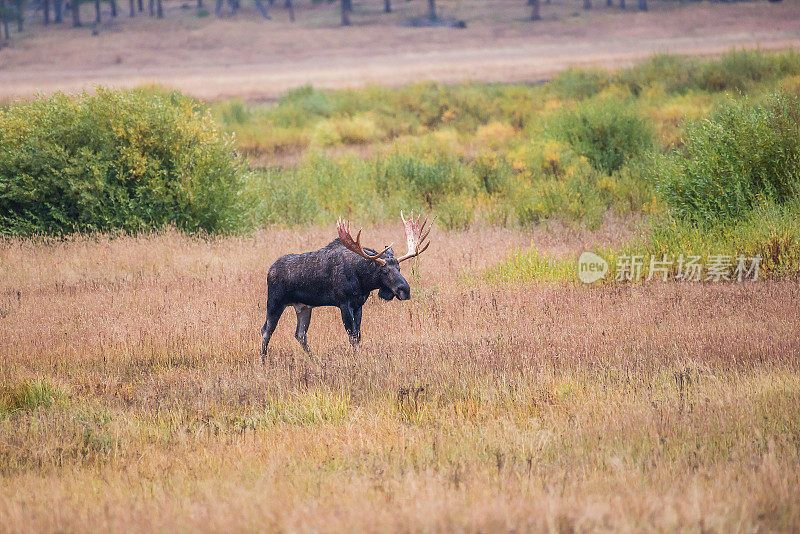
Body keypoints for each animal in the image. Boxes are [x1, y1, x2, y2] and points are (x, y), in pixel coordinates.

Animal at [260, 211, 432, 362]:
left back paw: (314, 360)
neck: (362, 280)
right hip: (275, 302)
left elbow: (359, 336)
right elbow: (352, 336)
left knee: (300, 334)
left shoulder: (358, 305)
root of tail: (269, 270)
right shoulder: (344, 303)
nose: (405, 290)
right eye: (383, 270)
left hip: (303, 307)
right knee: (266, 330)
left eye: (399, 268)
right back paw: (263, 361)